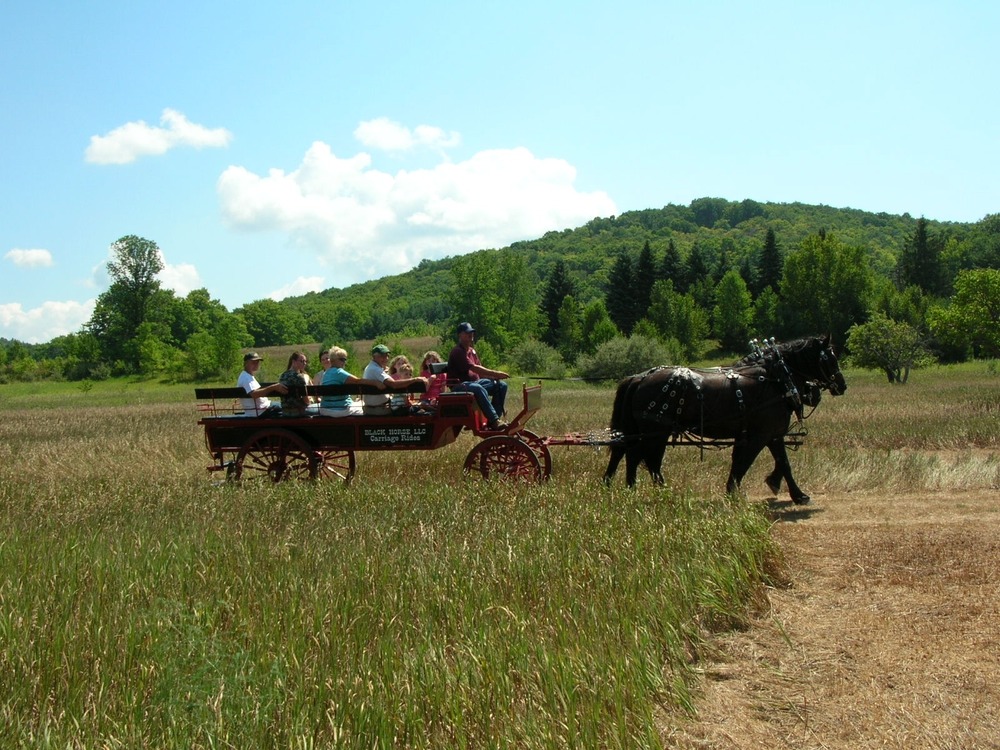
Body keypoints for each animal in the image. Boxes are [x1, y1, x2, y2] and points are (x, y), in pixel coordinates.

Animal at [603, 336, 846, 504]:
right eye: (830, 358)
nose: (842, 385)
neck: (777, 379)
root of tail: (639, 378)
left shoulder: (767, 434)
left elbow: (770, 461)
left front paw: (779, 486)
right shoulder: (762, 435)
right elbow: (753, 462)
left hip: (644, 431)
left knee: (629, 454)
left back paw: (627, 487)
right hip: (657, 432)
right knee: (644, 459)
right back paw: (657, 492)